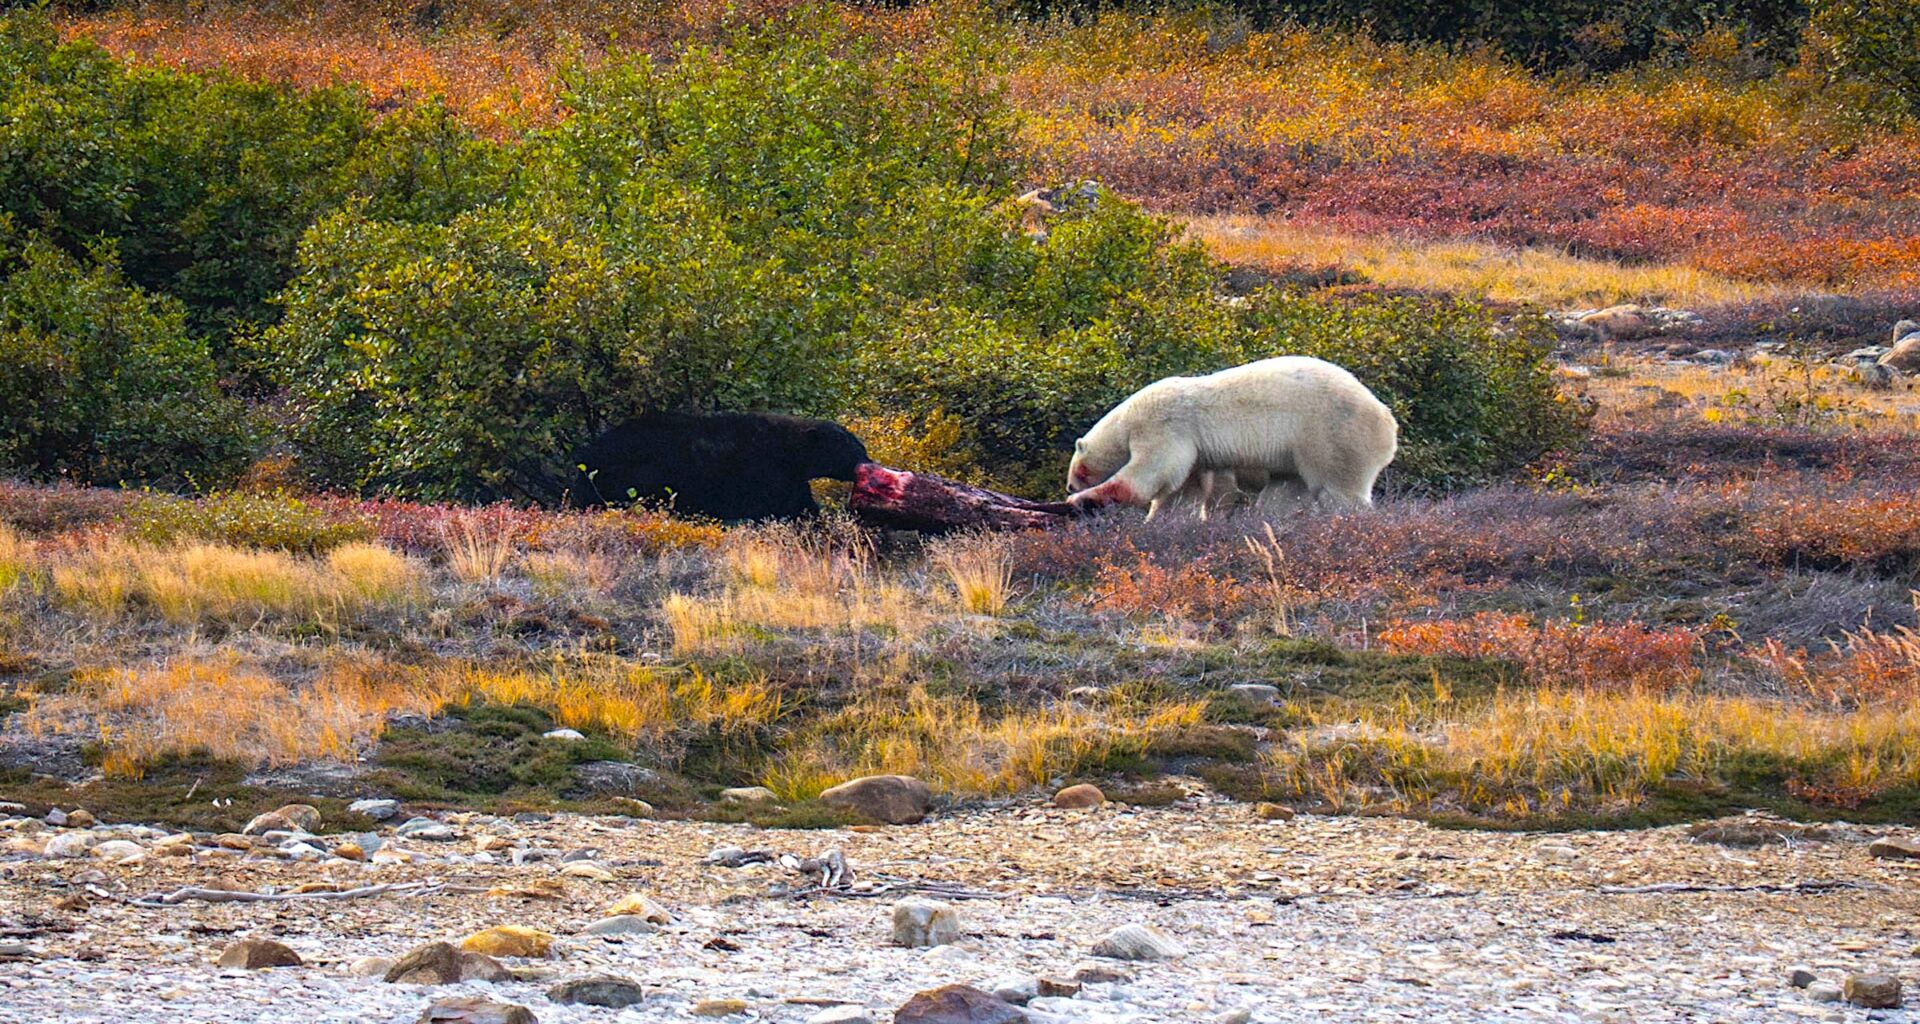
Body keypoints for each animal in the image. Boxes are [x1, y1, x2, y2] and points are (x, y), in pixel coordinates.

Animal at [571, 412, 870, 521]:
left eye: (857, 443)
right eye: (849, 445)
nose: (868, 461)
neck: (791, 453)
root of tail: (585, 454)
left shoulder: (789, 479)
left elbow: (800, 503)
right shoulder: (765, 471)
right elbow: (774, 506)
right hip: (628, 474)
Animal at [1066, 356, 1397, 519]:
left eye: (1077, 469)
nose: (1069, 486)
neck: (1127, 419)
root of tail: (1388, 421)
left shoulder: (1164, 427)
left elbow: (1146, 477)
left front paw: (1082, 499)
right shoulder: (1195, 453)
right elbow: (1180, 491)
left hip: (1332, 435)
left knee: (1339, 491)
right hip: (1296, 452)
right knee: (1286, 489)